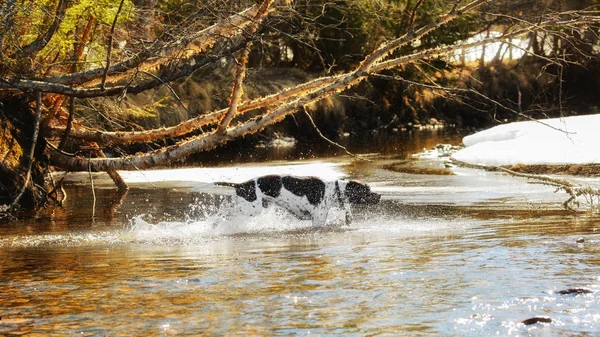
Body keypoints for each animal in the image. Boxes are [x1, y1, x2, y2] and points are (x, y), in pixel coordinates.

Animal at [214, 173, 380, 226]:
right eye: (367, 191)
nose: (379, 195)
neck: (334, 189)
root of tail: (241, 184)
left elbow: (347, 208)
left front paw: (348, 218)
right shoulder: (318, 221)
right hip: (252, 209)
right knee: (227, 210)